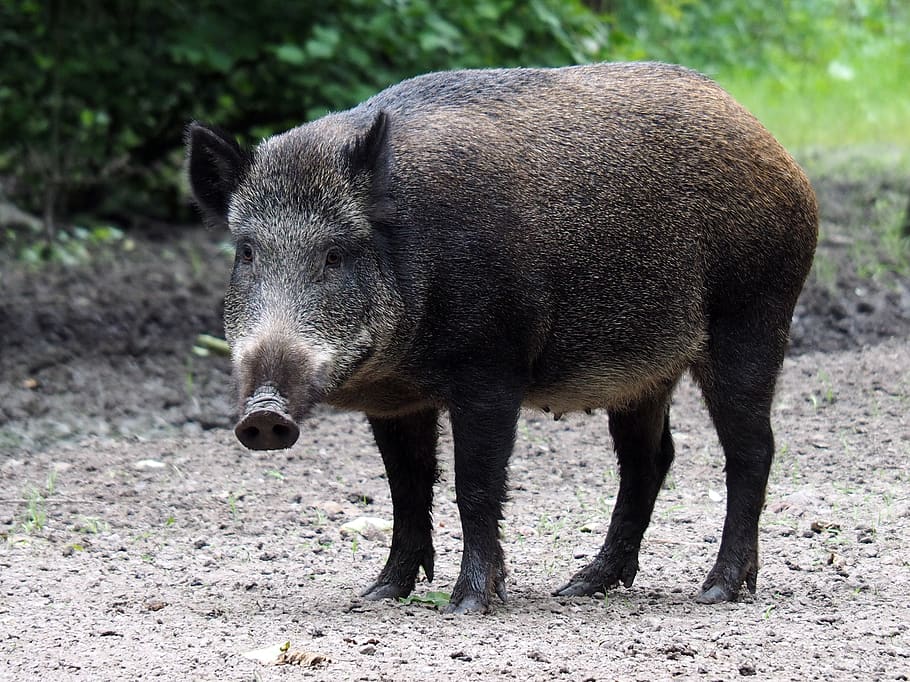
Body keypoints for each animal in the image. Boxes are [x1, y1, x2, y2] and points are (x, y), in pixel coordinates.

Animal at [186, 61, 818, 614]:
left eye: (335, 255)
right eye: (247, 252)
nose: (264, 415)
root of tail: (777, 153)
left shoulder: (492, 366)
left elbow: (476, 483)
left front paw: (469, 604)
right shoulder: (395, 400)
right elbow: (406, 487)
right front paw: (378, 594)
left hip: (753, 318)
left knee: (752, 449)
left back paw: (717, 591)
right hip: (645, 371)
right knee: (650, 460)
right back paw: (581, 586)